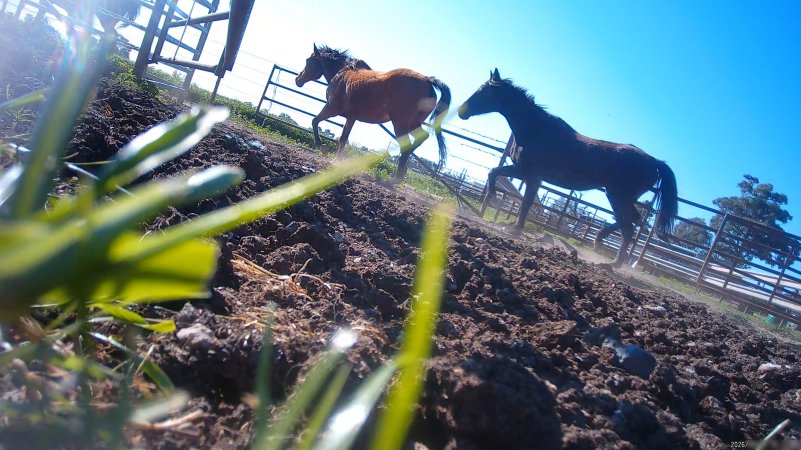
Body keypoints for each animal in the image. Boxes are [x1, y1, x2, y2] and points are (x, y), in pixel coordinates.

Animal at [295, 44, 451, 182]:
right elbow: (343, 138)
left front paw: (322, 147)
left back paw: (395, 179)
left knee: (406, 145)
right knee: (420, 138)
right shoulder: (351, 117)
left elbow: (315, 121)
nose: (298, 79)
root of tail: (427, 80)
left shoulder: (331, 109)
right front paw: (336, 160)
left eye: (308, 60)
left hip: (400, 124)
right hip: (413, 124)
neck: (341, 74)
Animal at [457, 69, 678, 267]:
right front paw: (494, 200)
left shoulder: (533, 176)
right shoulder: (522, 170)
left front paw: (514, 227)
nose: (461, 111)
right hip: (617, 196)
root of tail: (655, 161)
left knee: (630, 226)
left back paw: (610, 262)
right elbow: (493, 172)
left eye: (483, 91)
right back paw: (601, 240)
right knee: (631, 223)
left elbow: (526, 202)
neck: (535, 129)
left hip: (618, 195)